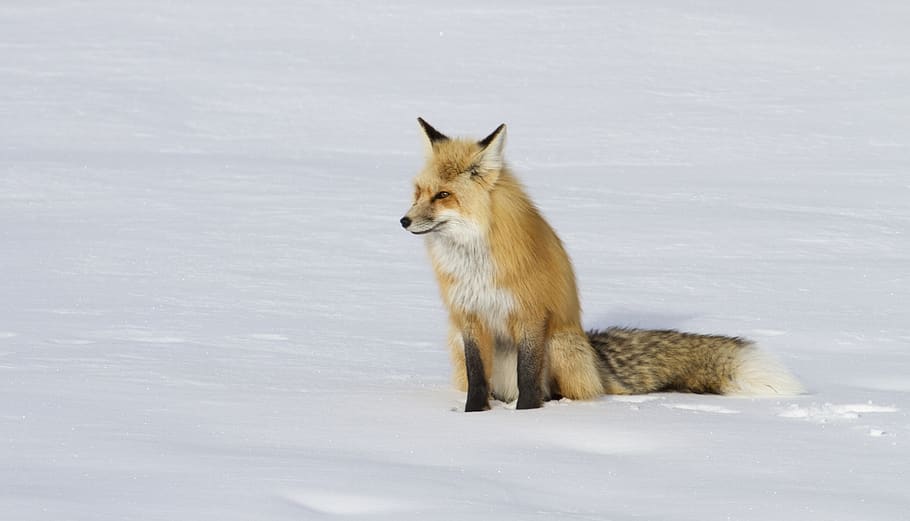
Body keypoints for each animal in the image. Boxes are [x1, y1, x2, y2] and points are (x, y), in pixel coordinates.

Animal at [400, 118, 803, 411]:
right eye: (419, 193)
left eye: (443, 195)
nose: (403, 221)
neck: (475, 260)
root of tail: (593, 355)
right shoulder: (468, 318)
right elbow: (477, 382)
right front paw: (473, 417)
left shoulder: (530, 315)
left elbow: (529, 381)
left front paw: (528, 418)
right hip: (457, 341)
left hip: (560, 345)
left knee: (565, 390)